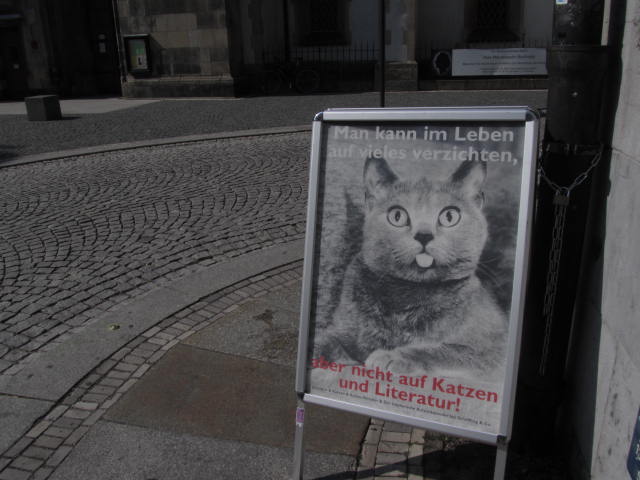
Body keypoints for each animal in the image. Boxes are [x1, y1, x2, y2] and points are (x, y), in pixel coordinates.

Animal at [312, 158, 508, 382]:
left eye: (449, 216)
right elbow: (325, 339)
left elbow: (445, 350)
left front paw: (390, 357)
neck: (406, 295)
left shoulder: (492, 350)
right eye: (397, 216)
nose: (424, 235)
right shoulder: (345, 332)